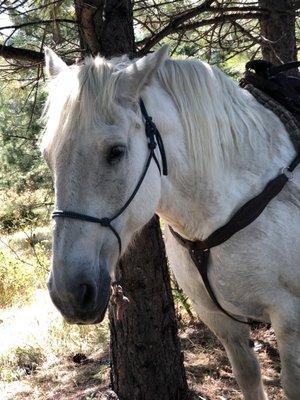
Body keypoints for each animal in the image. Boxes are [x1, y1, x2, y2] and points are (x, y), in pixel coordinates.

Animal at [42, 47, 300, 400]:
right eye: (47, 156)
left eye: (116, 151)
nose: (69, 293)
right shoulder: (219, 320)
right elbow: (248, 376)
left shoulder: (289, 317)